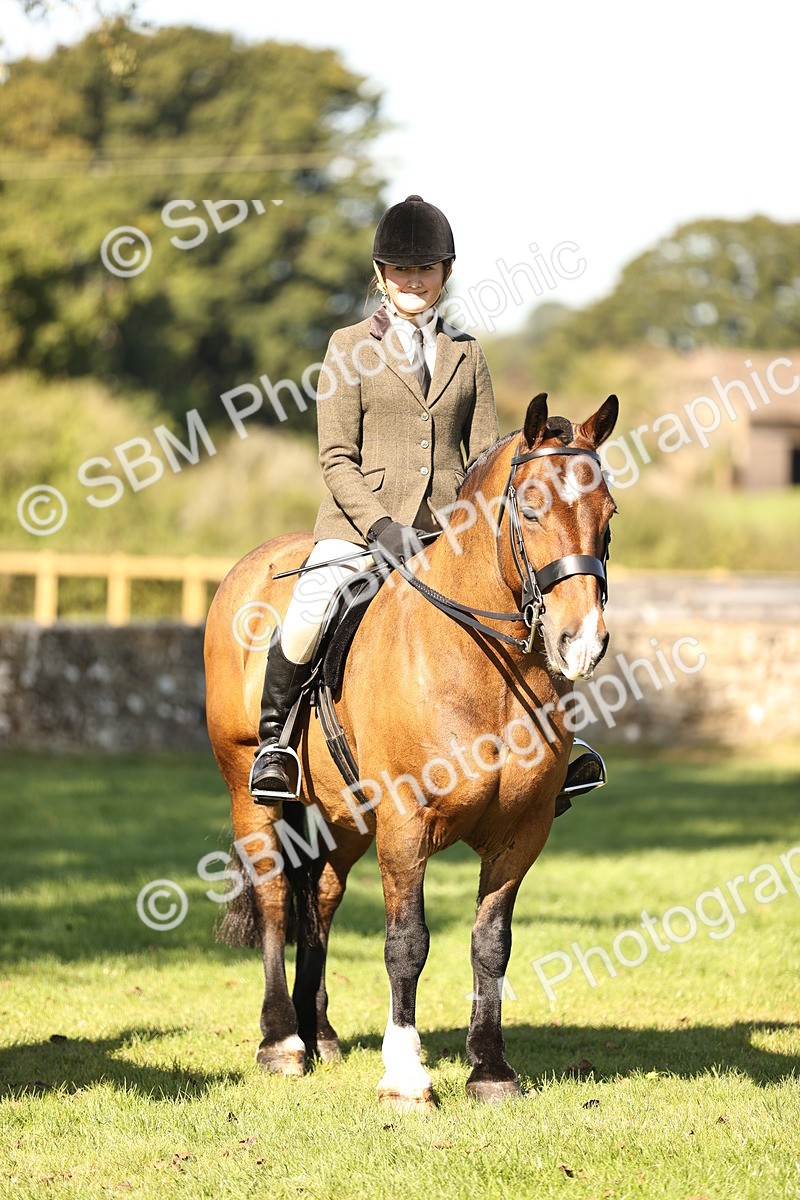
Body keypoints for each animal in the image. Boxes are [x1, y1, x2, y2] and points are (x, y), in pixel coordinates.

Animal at [203, 391, 619, 1109]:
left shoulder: (522, 831)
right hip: (248, 791)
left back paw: (319, 1032)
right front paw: (405, 1076)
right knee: (276, 894)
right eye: (531, 508)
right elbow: (407, 942)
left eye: (609, 516)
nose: (581, 642)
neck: (486, 670)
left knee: (322, 895)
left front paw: (491, 1070)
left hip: (341, 817)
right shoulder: (405, 823)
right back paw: (282, 1041)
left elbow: (492, 944)